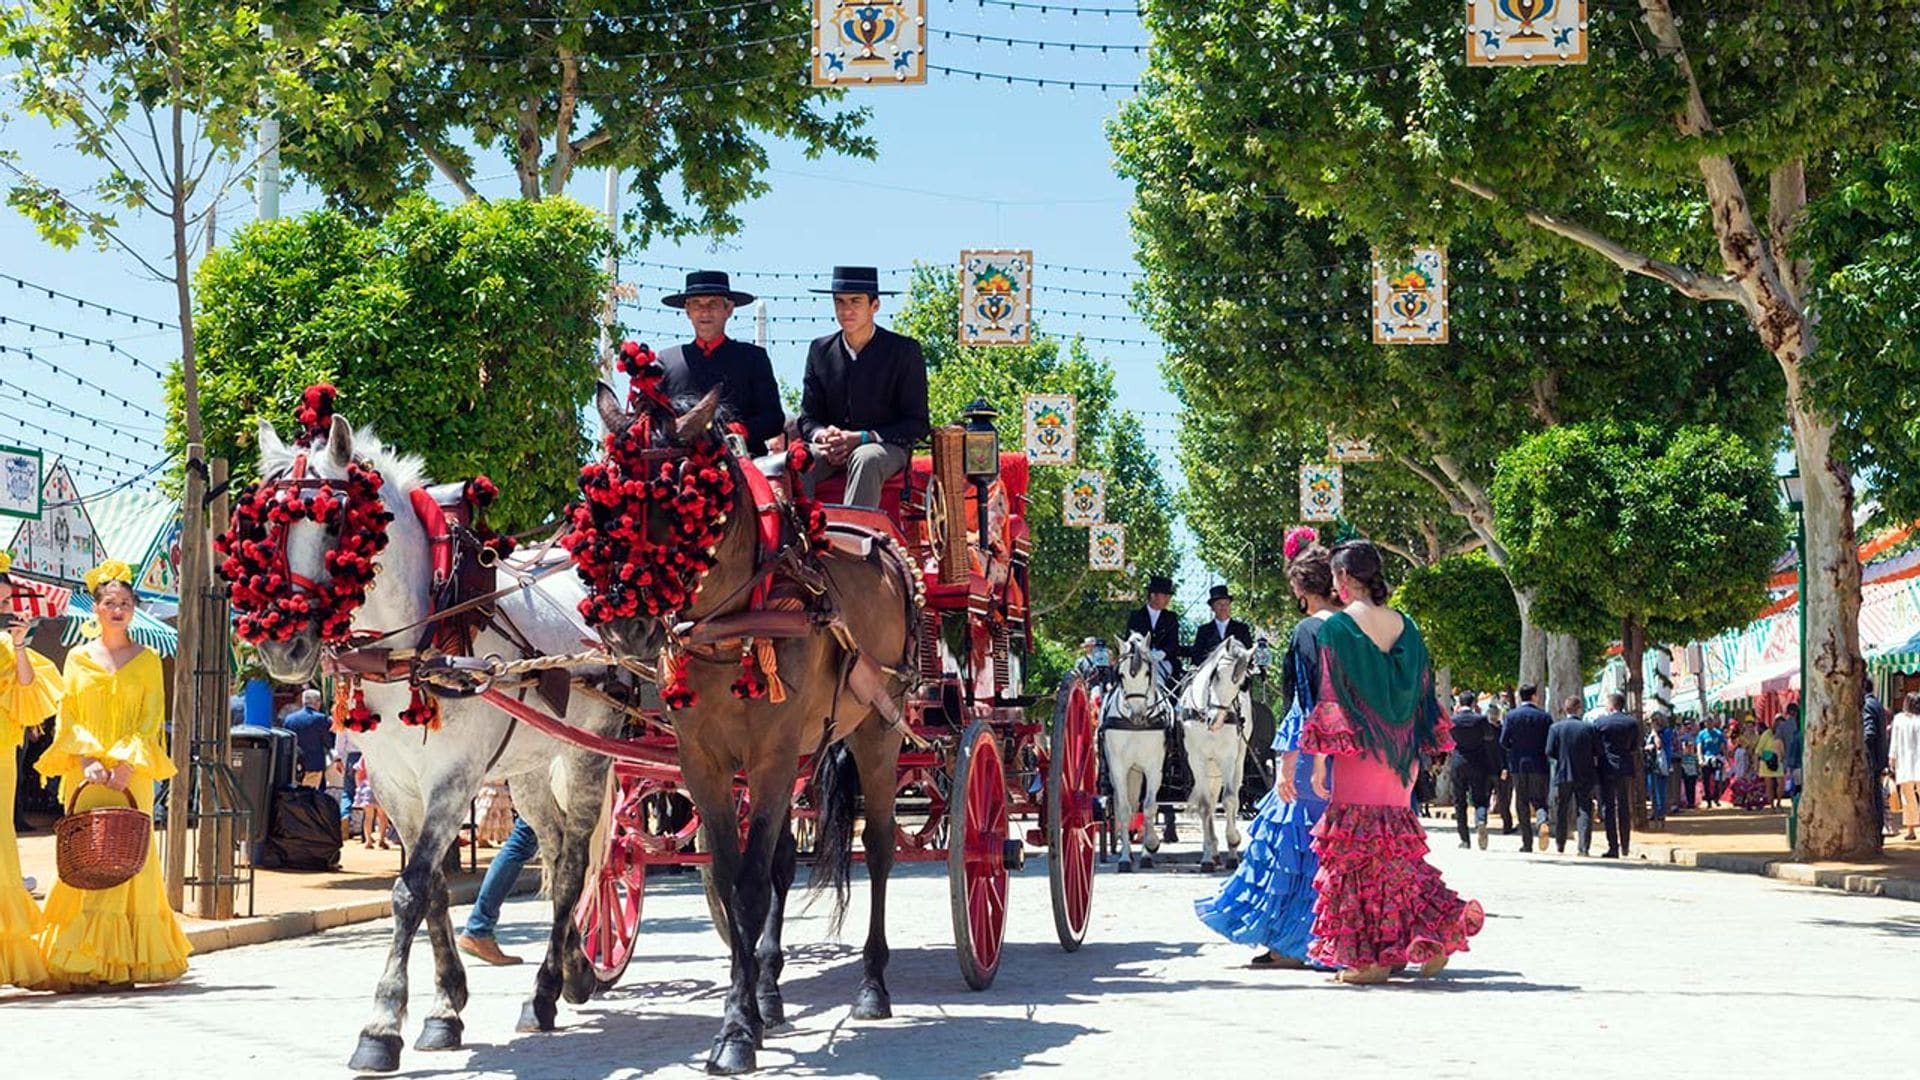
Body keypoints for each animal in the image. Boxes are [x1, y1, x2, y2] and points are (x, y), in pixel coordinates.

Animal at [249, 409, 622, 1068]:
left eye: (337, 521)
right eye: (267, 520)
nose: (283, 645)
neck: (417, 636)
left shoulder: (454, 779)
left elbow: (411, 889)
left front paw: (382, 1026)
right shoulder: (393, 785)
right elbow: (437, 889)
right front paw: (447, 1007)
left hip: (587, 752)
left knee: (574, 863)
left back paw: (546, 990)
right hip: (527, 766)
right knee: (553, 849)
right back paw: (572, 972)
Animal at [579, 382, 917, 1068]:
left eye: (677, 498)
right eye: (603, 497)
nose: (627, 623)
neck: (729, 618)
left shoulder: (770, 755)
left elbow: (751, 884)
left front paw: (737, 1033)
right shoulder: (703, 762)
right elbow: (736, 876)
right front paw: (748, 1010)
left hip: (878, 731)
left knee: (879, 848)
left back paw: (873, 985)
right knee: (787, 859)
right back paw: (771, 990)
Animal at [1175, 634, 1251, 868]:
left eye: (1241, 683)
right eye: (1216, 675)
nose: (1215, 720)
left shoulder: (1227, 757)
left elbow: (1229, 800)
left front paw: (1233, 846)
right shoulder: (1196, 759)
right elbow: (1206, 803)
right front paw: (1208, 855)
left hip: (1237, 760)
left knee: (1233, 794)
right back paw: (1213, 851)